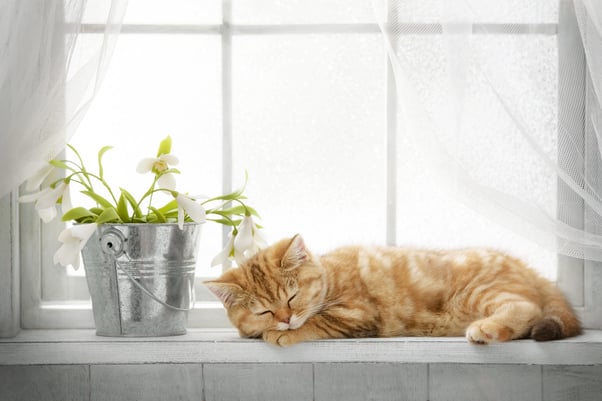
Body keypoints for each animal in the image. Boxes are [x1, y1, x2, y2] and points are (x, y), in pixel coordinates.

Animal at [204, 236, 580, 346]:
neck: (330, 276)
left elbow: (318, 321)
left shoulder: (357, 313)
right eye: (264, 310)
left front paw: (286, 333)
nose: (284, 319)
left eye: (291, 298)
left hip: (481, 292)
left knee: (527, 308)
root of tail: (529, 270)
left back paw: (485, 329)